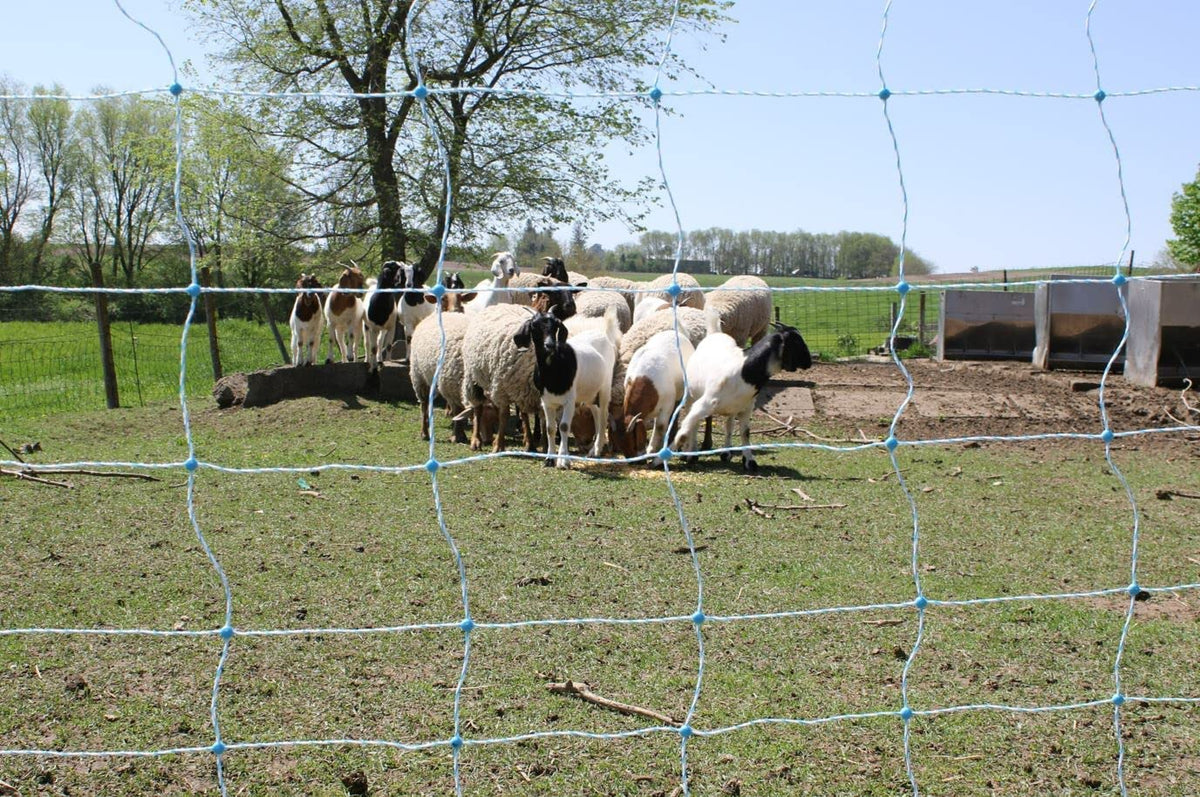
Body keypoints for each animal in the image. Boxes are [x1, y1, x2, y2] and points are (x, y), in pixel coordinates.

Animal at [513, 306, 620, 468]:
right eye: (534, 326)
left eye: (556, 325)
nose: (550, 345)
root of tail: (604, 333)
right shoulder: (546, 401)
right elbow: (550, 428)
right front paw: (549, 459)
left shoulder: (569, 400)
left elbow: (563, 426)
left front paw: (563, 460)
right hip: (588, 392)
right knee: (595, 411)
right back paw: (593, 450)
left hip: (605, 387)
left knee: (603, 415)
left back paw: (596, 450)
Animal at [673, 311, 812, 472]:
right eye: (797, 342)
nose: (809, 362)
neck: (744, 370)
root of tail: (714, 334)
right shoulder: (705, 403)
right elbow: (689, 425)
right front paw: (684, 449)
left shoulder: (746, 408)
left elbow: (745, 433)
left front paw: (749, 461)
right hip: (692, 397)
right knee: (694, 423)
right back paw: (691, 452)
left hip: (731, 408)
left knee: (728, 426)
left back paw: (726, 453)